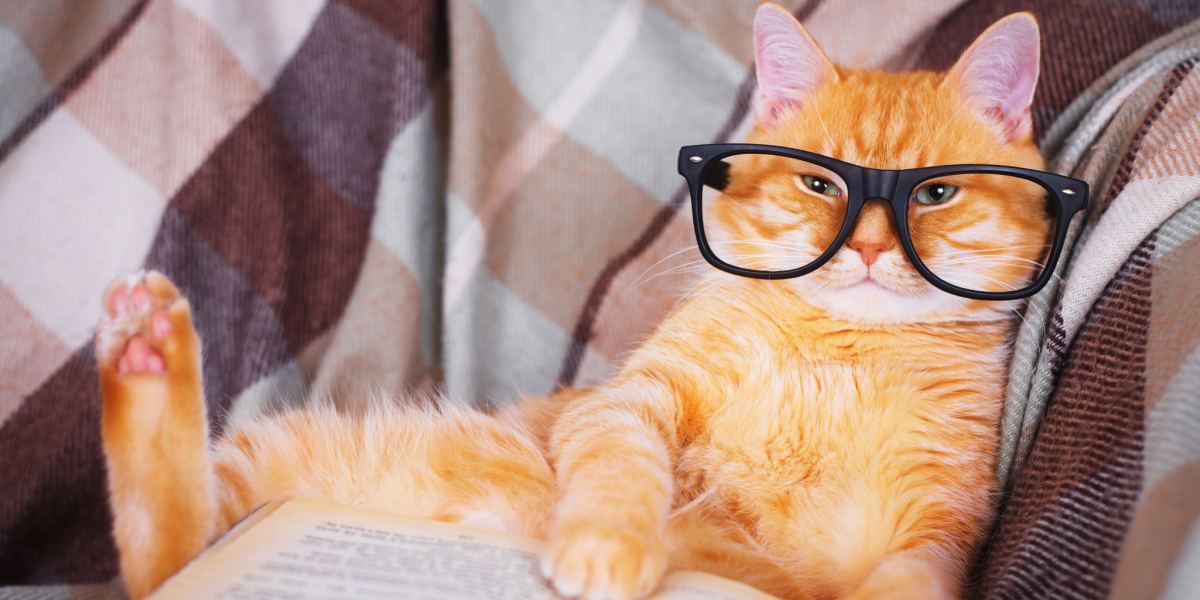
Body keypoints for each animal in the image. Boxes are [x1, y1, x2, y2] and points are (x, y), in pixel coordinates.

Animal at [98, 5, 1046, 600]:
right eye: (820, 184)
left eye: (935, 196)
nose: (870, 250)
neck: (840, 351)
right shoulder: (632, 403)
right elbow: (623, 472)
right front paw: (607, 545)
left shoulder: (937, 515)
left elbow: (910, 578)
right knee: (160, 558)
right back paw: (147, 350)